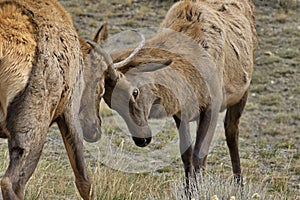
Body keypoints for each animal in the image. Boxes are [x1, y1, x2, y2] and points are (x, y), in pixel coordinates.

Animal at [0, 0, 144, 199]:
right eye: (100, 88)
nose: (95, 129)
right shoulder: (70, 110)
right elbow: (84, 181)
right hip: (34, 126)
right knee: (10, 183)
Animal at [100, 0, 258, 185]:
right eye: (112, 104)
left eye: (135, 92)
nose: (141, 139)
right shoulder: (181, 111)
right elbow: (187, 154)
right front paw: (190, 188)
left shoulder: (212, 105)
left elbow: (198, 155)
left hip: (243, 91)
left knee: (231, 131)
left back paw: (239, 183)